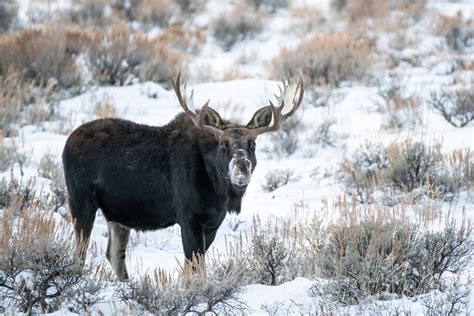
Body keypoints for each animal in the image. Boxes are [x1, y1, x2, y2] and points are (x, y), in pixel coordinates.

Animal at [63, 73, 304, 278]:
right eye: (222, 144)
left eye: (252, 144)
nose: (241, 169)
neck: (217, 190)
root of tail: (67, 143)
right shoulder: (188, 217)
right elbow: (195, 268)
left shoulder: (213, 222)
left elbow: (191, 270)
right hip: (80, 200)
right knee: (79, 254)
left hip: (117, 214)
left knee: (114, 254)